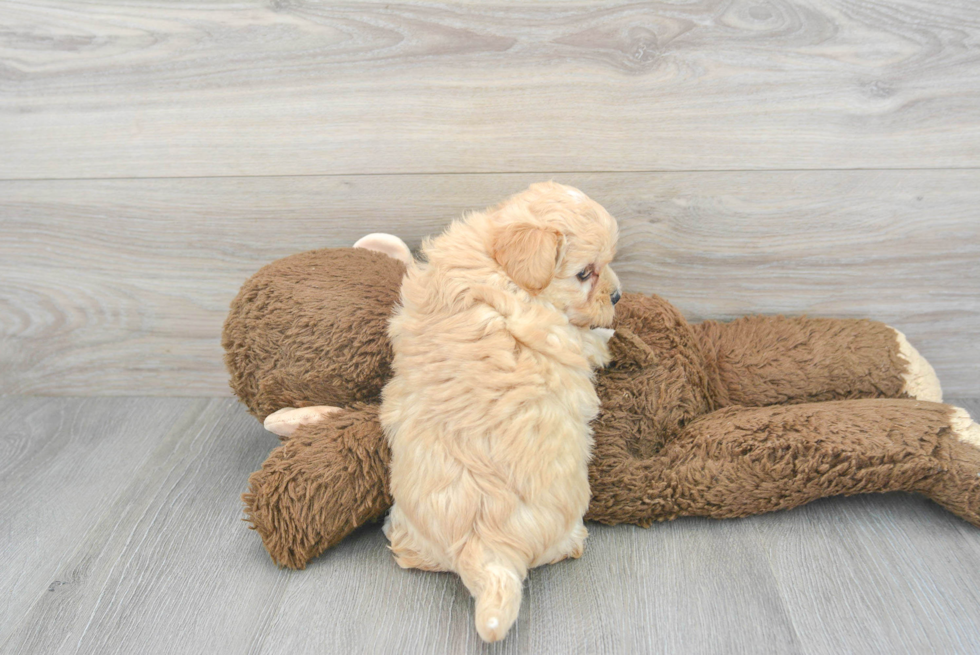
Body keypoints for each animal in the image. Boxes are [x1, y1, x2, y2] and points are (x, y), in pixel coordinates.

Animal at [380, 182, 620, 644]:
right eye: (585, 273)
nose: (617, 294)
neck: (499, 266)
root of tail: (487, 549)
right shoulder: (565, 335)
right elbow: (588, 340)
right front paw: (607, 333)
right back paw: (575, 543)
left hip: (410, 522)